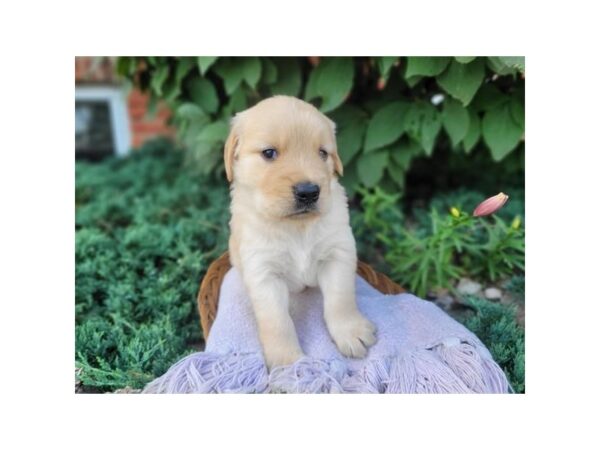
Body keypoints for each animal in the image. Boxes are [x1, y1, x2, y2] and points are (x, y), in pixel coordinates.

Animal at [225, 95, 376, 370]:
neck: (296, 226)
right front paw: (289, 365)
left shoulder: (338, 254)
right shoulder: (263, 272)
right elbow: (277, 322)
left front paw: (351, 331)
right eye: (269, 153)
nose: (309, 192)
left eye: (322, 153)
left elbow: (341, 299)